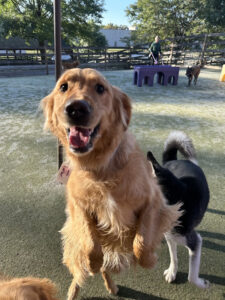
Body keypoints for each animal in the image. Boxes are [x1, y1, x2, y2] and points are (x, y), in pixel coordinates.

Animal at [41, 68, 180, 300]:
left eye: (100, 88)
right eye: (63, 86)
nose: (76, 109)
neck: (101, 168)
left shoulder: (153, 200)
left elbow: (141, 243)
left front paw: (149, 260)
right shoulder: (78, 207)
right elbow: (90, 245)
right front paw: (93, 263)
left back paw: (112, 286)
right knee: (81, 271)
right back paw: (76, 288)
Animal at [148, 132, 209, 288]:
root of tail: (174, 160)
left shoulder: (195, 241)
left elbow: (191, 276)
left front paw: (203, 284)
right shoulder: (170, 236)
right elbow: (174, 257)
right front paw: (172, 272)